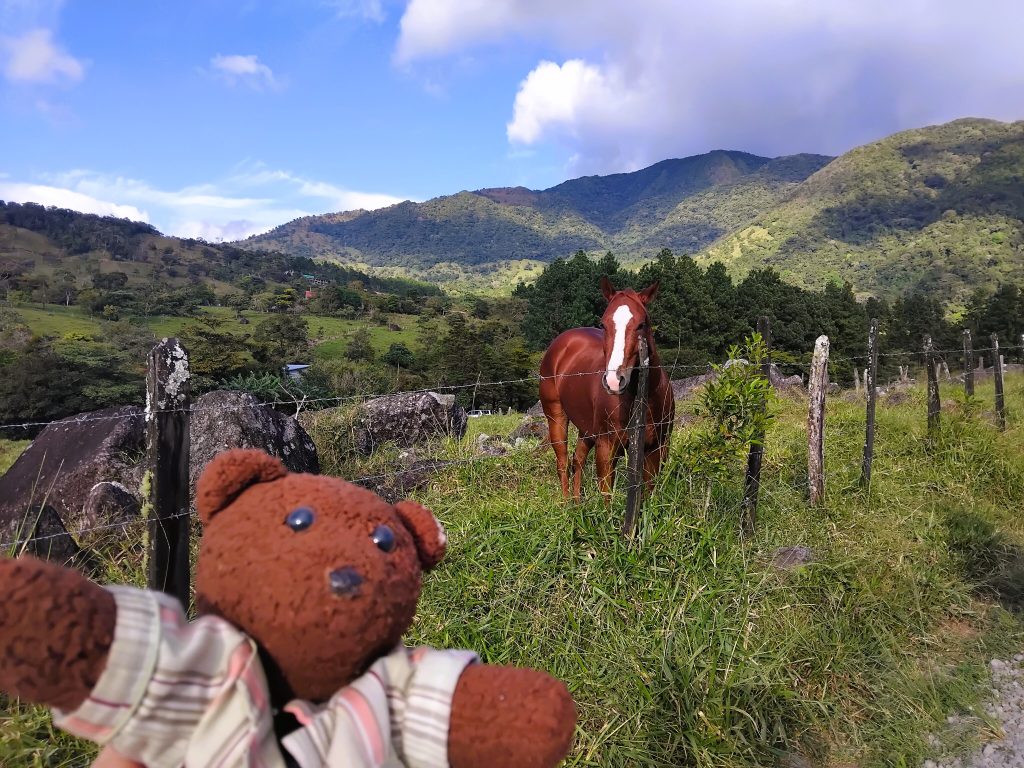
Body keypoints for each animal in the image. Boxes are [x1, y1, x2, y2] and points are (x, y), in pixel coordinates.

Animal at [539, 277, 675, 504]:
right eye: (603, 324)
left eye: (641, 324)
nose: (613, 381)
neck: (641, 396)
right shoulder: (607, 448)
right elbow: (607, 498)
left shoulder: (656, 448)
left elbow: (648, 492)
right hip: (556, 418)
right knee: (563, 462)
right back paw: (566, 505)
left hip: (586, 428)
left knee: (578, 459)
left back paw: (577, 503)